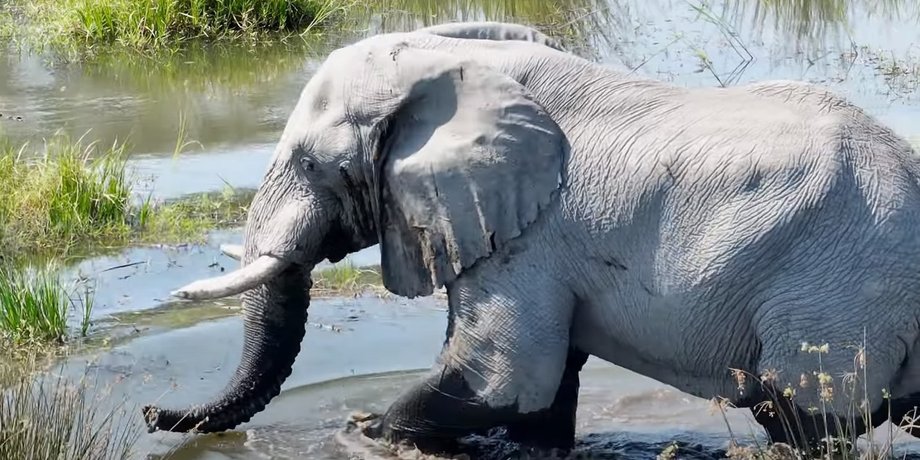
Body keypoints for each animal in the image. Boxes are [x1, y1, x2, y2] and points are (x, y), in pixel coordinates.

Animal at [142, 20, 920, 455]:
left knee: (799, 419)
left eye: (311, 165)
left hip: (835, 296)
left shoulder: (532, 235)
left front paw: (364, 432)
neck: (441, 60)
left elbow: (503, 378)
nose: (150, 412)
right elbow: (542, 392)